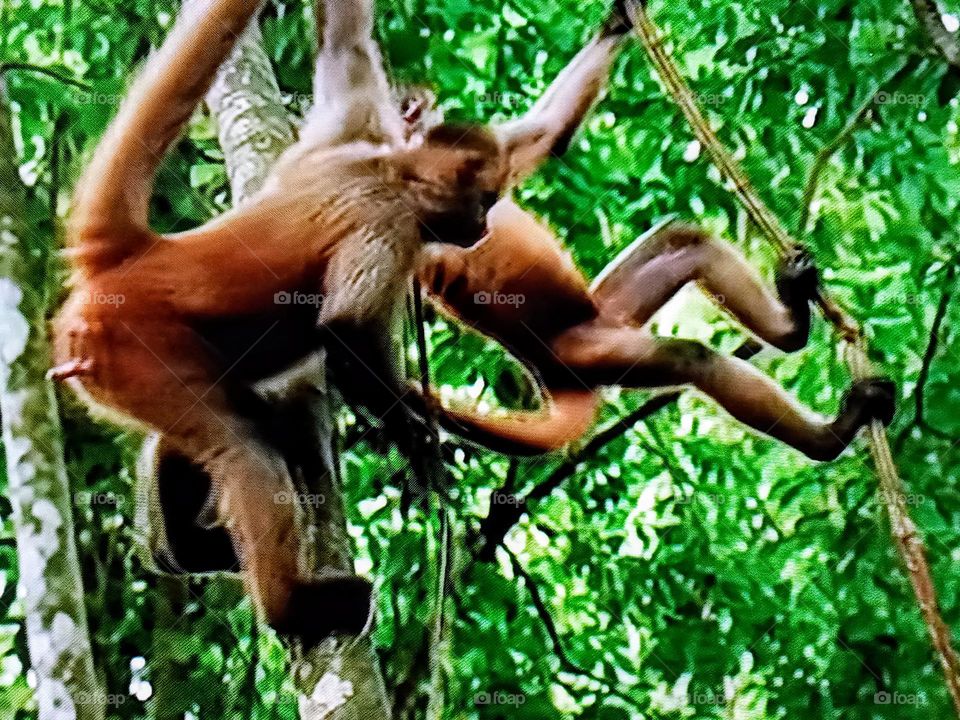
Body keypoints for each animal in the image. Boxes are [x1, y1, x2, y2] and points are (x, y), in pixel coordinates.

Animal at [52, 0, 510, 648]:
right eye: (486, 200)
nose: (485, 227)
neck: (389, 170)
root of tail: (143, 257)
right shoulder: (390, 222)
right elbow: (344, 331)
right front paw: (416, 442)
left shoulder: (352, 129)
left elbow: (344, 40)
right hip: (135, 349)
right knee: (244, 445)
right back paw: (295, 608)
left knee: (208, 431)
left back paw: (188, 553)